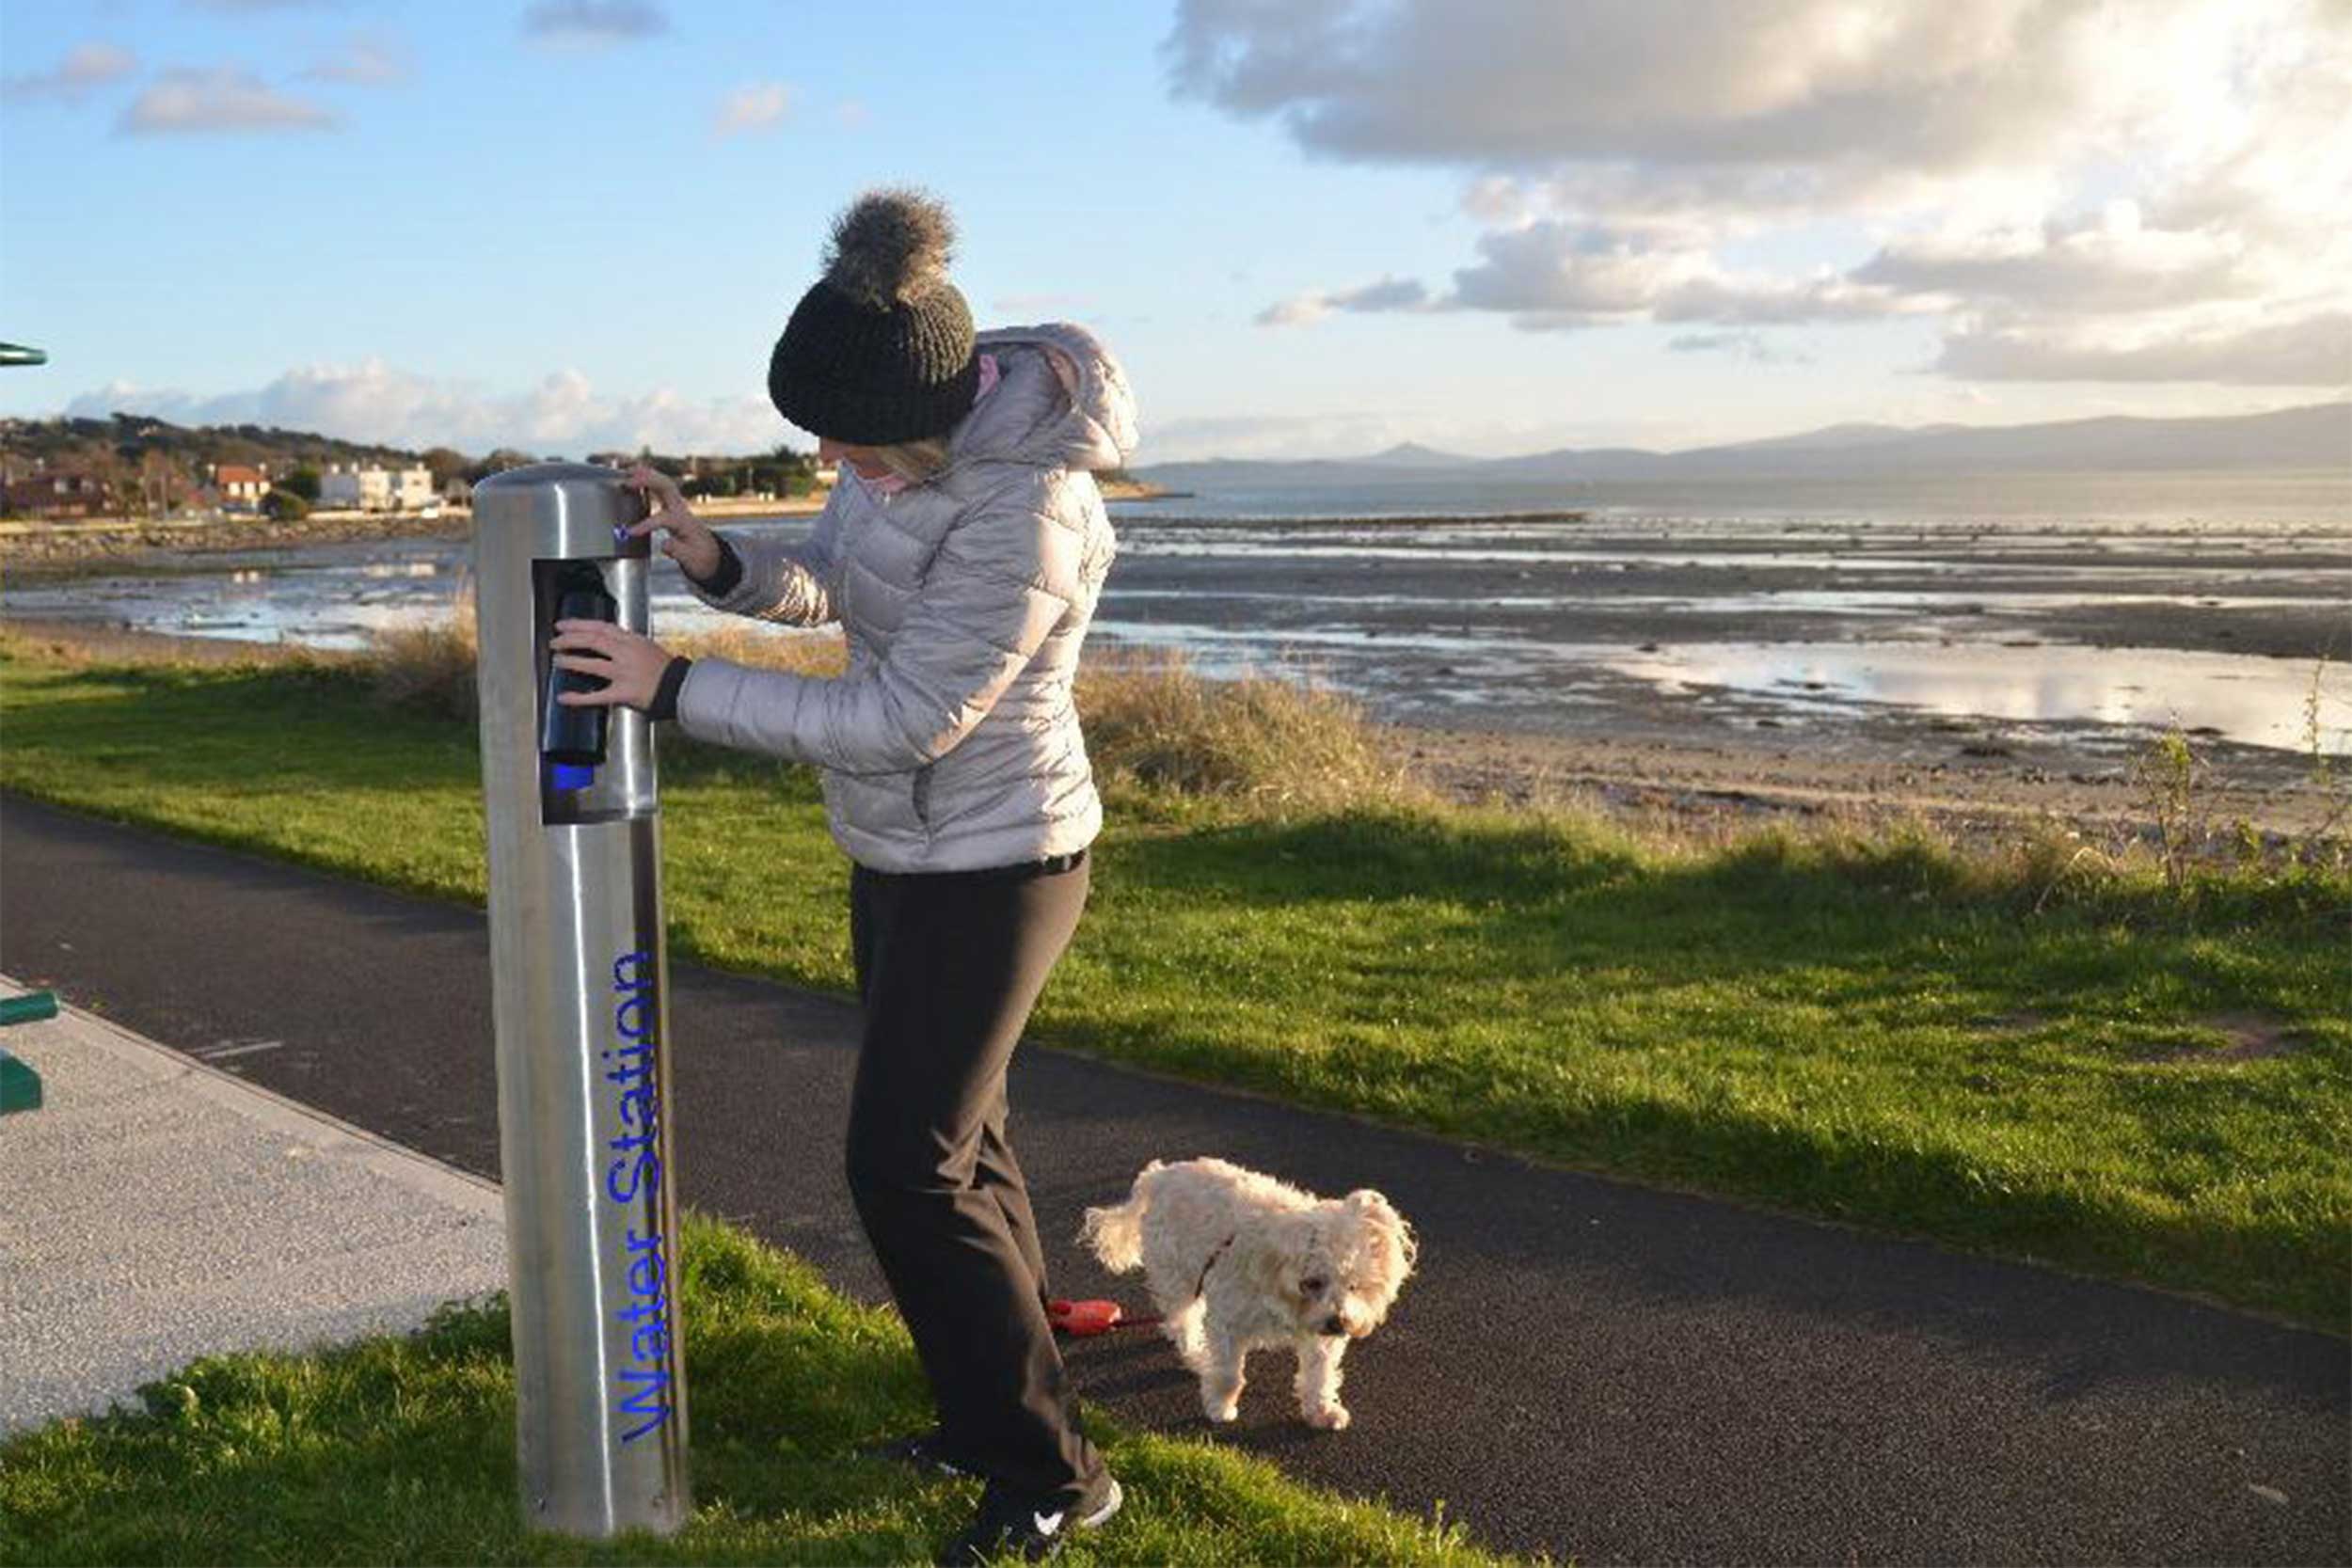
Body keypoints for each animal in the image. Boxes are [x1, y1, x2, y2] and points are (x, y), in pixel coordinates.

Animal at [1077, 1161, 1411, 1429]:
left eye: (1355, 1285)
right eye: (1313, 1282)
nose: (1339, 1323)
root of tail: (1158, 1176)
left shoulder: (1320, 1334)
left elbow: (1321, 1374)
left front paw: (1322, 1411)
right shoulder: (1229, 1322)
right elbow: (1229, 1375)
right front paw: (1220, 1407)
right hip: (1178, 1275)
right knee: (1182, 1319)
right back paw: (1196, 1355)